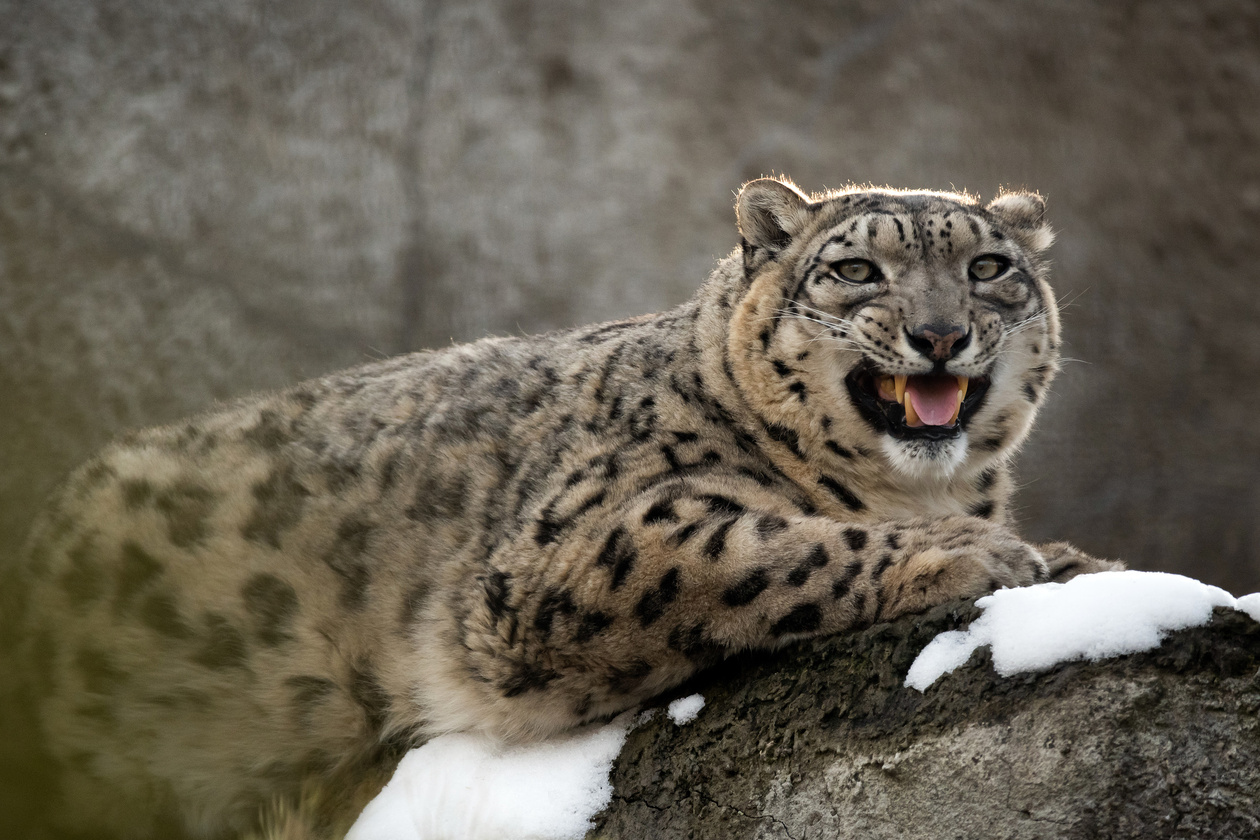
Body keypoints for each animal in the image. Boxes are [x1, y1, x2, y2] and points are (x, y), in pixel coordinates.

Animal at [8, 177, 1119, 839]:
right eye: (855, 269)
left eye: (988, 268)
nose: (940, 335)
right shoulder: (573, 554)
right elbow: (774, 544)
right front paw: (974, 553)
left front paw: (1075, 561)